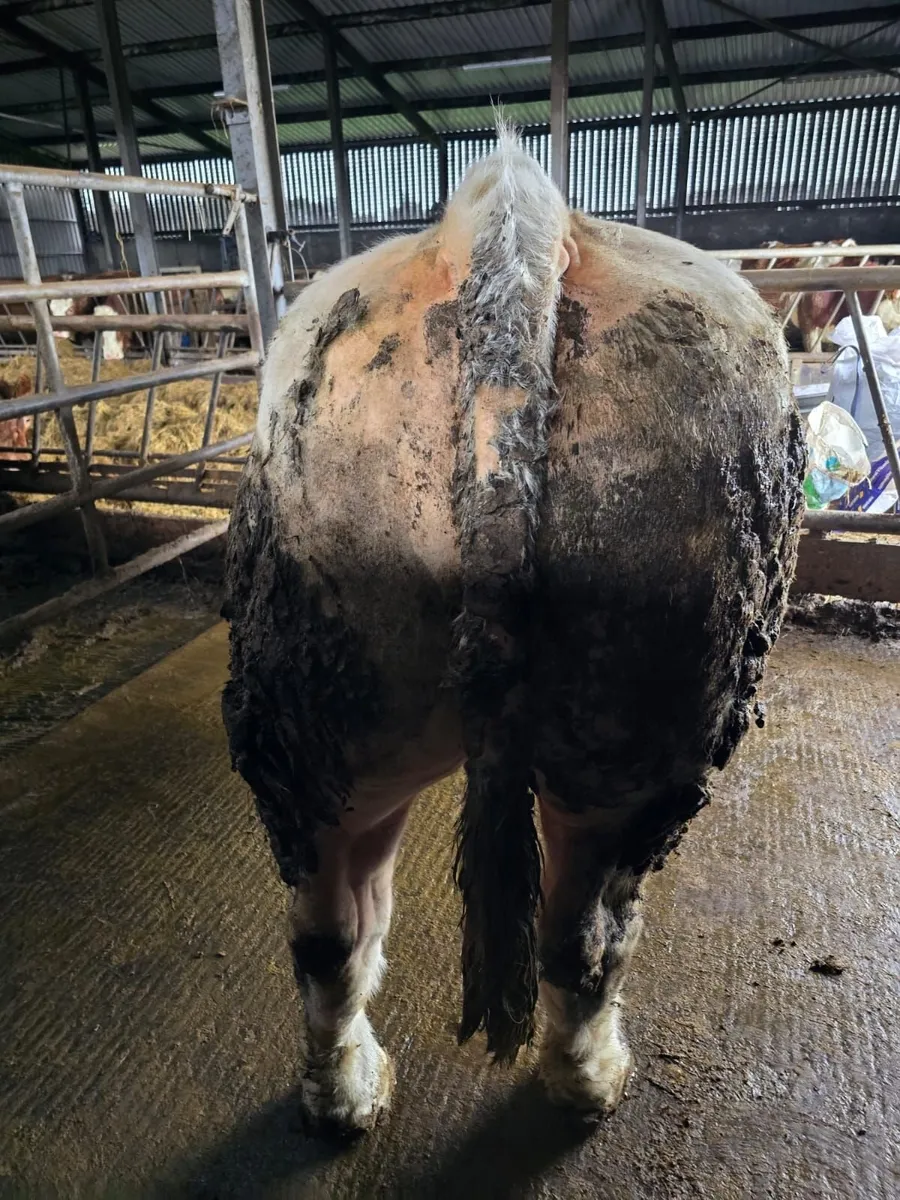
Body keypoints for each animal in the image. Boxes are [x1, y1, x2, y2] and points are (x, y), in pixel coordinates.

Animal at [221, 127, 805, 1132]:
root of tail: (511, 235)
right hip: (644, 741)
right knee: (589, 930)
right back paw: (590, 1082)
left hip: (337, 725)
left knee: (336, 931)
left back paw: (346, 1095)